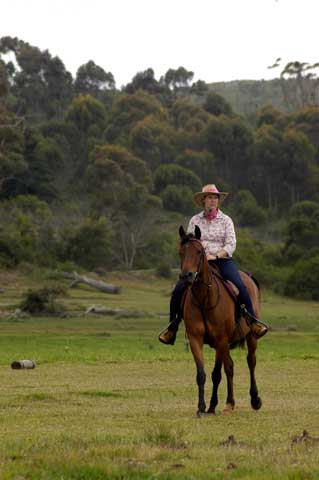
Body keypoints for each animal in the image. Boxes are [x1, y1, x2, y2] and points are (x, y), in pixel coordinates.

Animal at [179, 225, 264, 416]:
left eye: (199, 251)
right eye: (180, 252)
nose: (187, 276)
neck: (204, 299)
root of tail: (248, 276)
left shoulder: (221, 339)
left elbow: (219, 373)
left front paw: (219, 405)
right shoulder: (196, 339)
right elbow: (202, 374)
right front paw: (203, 407)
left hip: (251, 337)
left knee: (251, 362)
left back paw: (255, 400)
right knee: (228, 367)